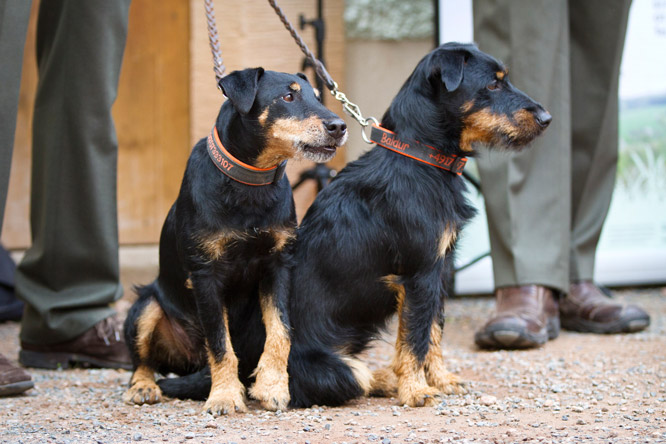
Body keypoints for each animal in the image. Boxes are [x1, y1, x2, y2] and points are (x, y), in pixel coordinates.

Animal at [121, 67, 344, 416]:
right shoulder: (205, 274)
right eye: (288, 96)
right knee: (142, 360)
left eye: (319, 97)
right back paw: (143, 387)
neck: (249, 184)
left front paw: (272, 386)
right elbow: (219, 343)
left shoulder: (278, 265)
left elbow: (280, 331)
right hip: (145, 306)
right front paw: (225, 396)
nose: (339, 127)